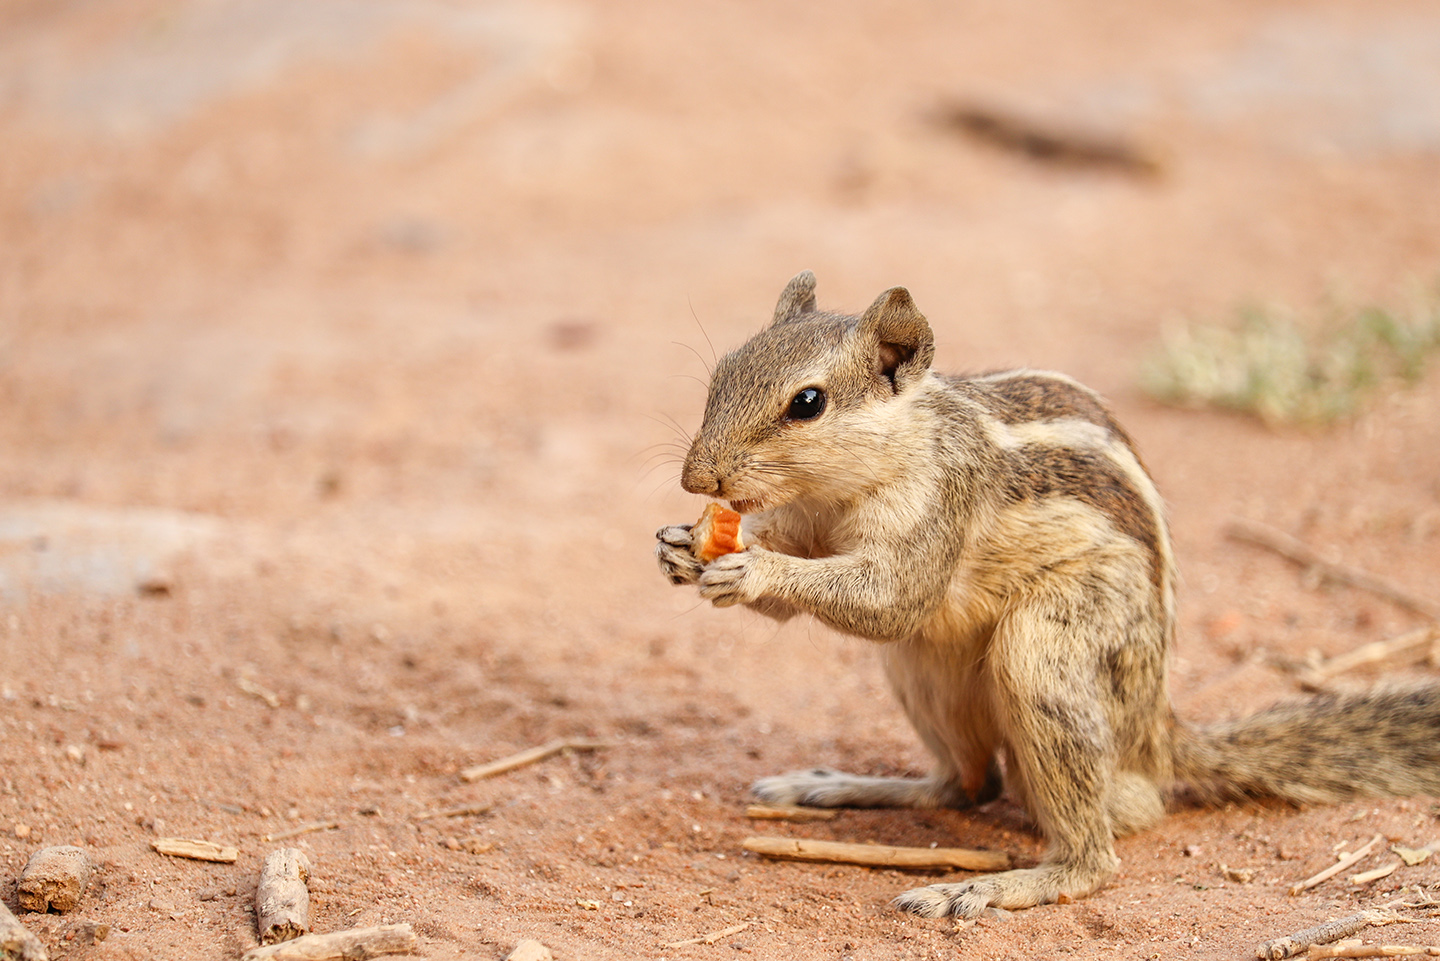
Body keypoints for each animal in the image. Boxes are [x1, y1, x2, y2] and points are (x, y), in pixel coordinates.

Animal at [655, 270, 1440, 919]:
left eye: (807, 404)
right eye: (723, 371)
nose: (698, 478)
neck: (854, 480)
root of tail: (1157, 734)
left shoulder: (938, 507)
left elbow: (891, 597)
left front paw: (752, 569)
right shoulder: (804, 520)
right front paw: (681, 548)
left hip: (1045, 658)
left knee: (1093, 855)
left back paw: (994, 885)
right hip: (923, 670)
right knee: (965, 786)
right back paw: (838, 786)